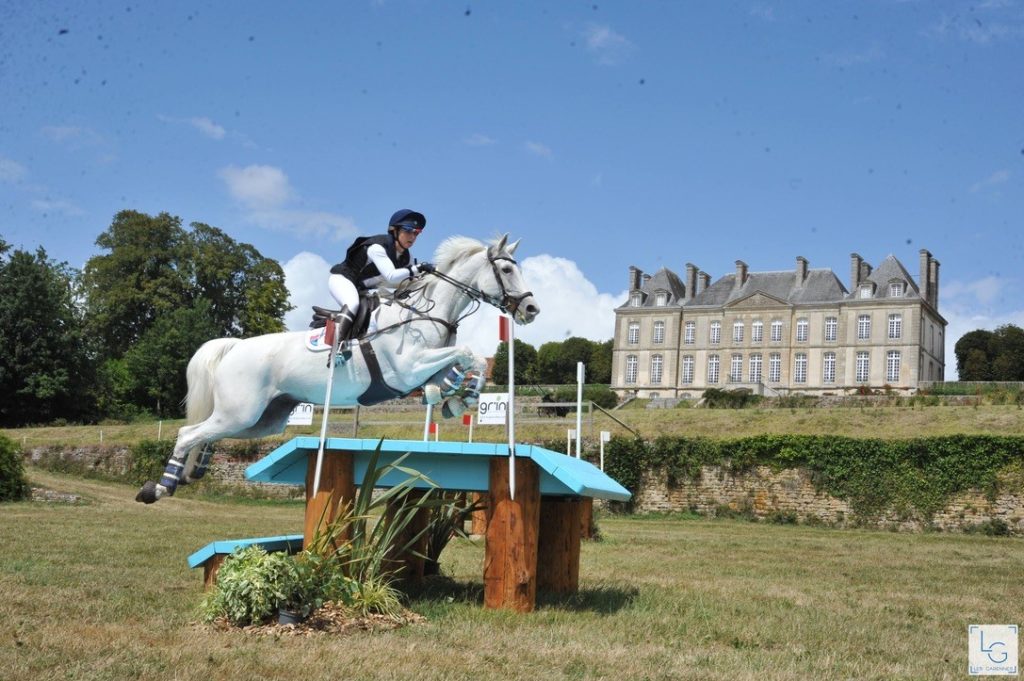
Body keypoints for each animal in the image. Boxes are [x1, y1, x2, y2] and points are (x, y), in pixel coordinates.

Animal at [137, 236, 540, 501]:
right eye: (506, 269)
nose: (531, 309)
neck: (427, 312)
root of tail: (235, 346)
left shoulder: (427, 367)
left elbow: (465, 365)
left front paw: (458, 400)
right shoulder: (406, 369)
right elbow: (467, 354)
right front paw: (456, 398)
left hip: (261, 420)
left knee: (207, 434)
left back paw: (192, 471)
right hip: (241, 412)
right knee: (187, 433)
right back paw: (158, 488)